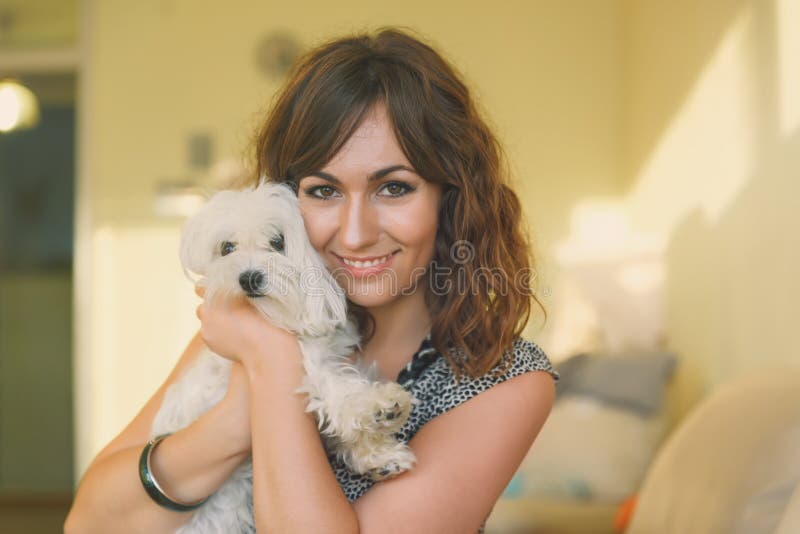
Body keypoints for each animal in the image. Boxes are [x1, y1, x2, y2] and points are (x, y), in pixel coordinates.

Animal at [152, 182, 422, 532]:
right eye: (227, 247)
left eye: (277, 242)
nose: (248, 277)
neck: (282, 318)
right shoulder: (308, 365)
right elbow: (336, 390)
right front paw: (378, 406)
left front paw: (379, 455)